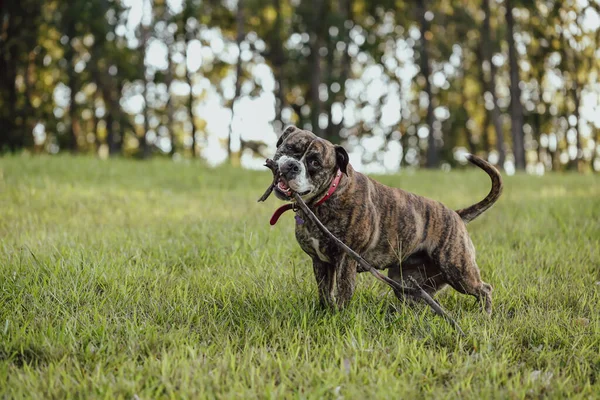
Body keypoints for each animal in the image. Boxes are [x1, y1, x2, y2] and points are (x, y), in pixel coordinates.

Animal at [268, 126, 502, 314]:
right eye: (289, 148)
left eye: (314, 162)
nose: (291, 166)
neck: (326, 197)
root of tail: (455, 214)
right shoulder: (320, 262)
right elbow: (325, 292)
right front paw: (325, 312)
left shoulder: (346, 259)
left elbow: (343, 291)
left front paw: (338, 317)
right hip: (409, 282)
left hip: (458, 270)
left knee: (484, 289)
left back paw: (485, 315)